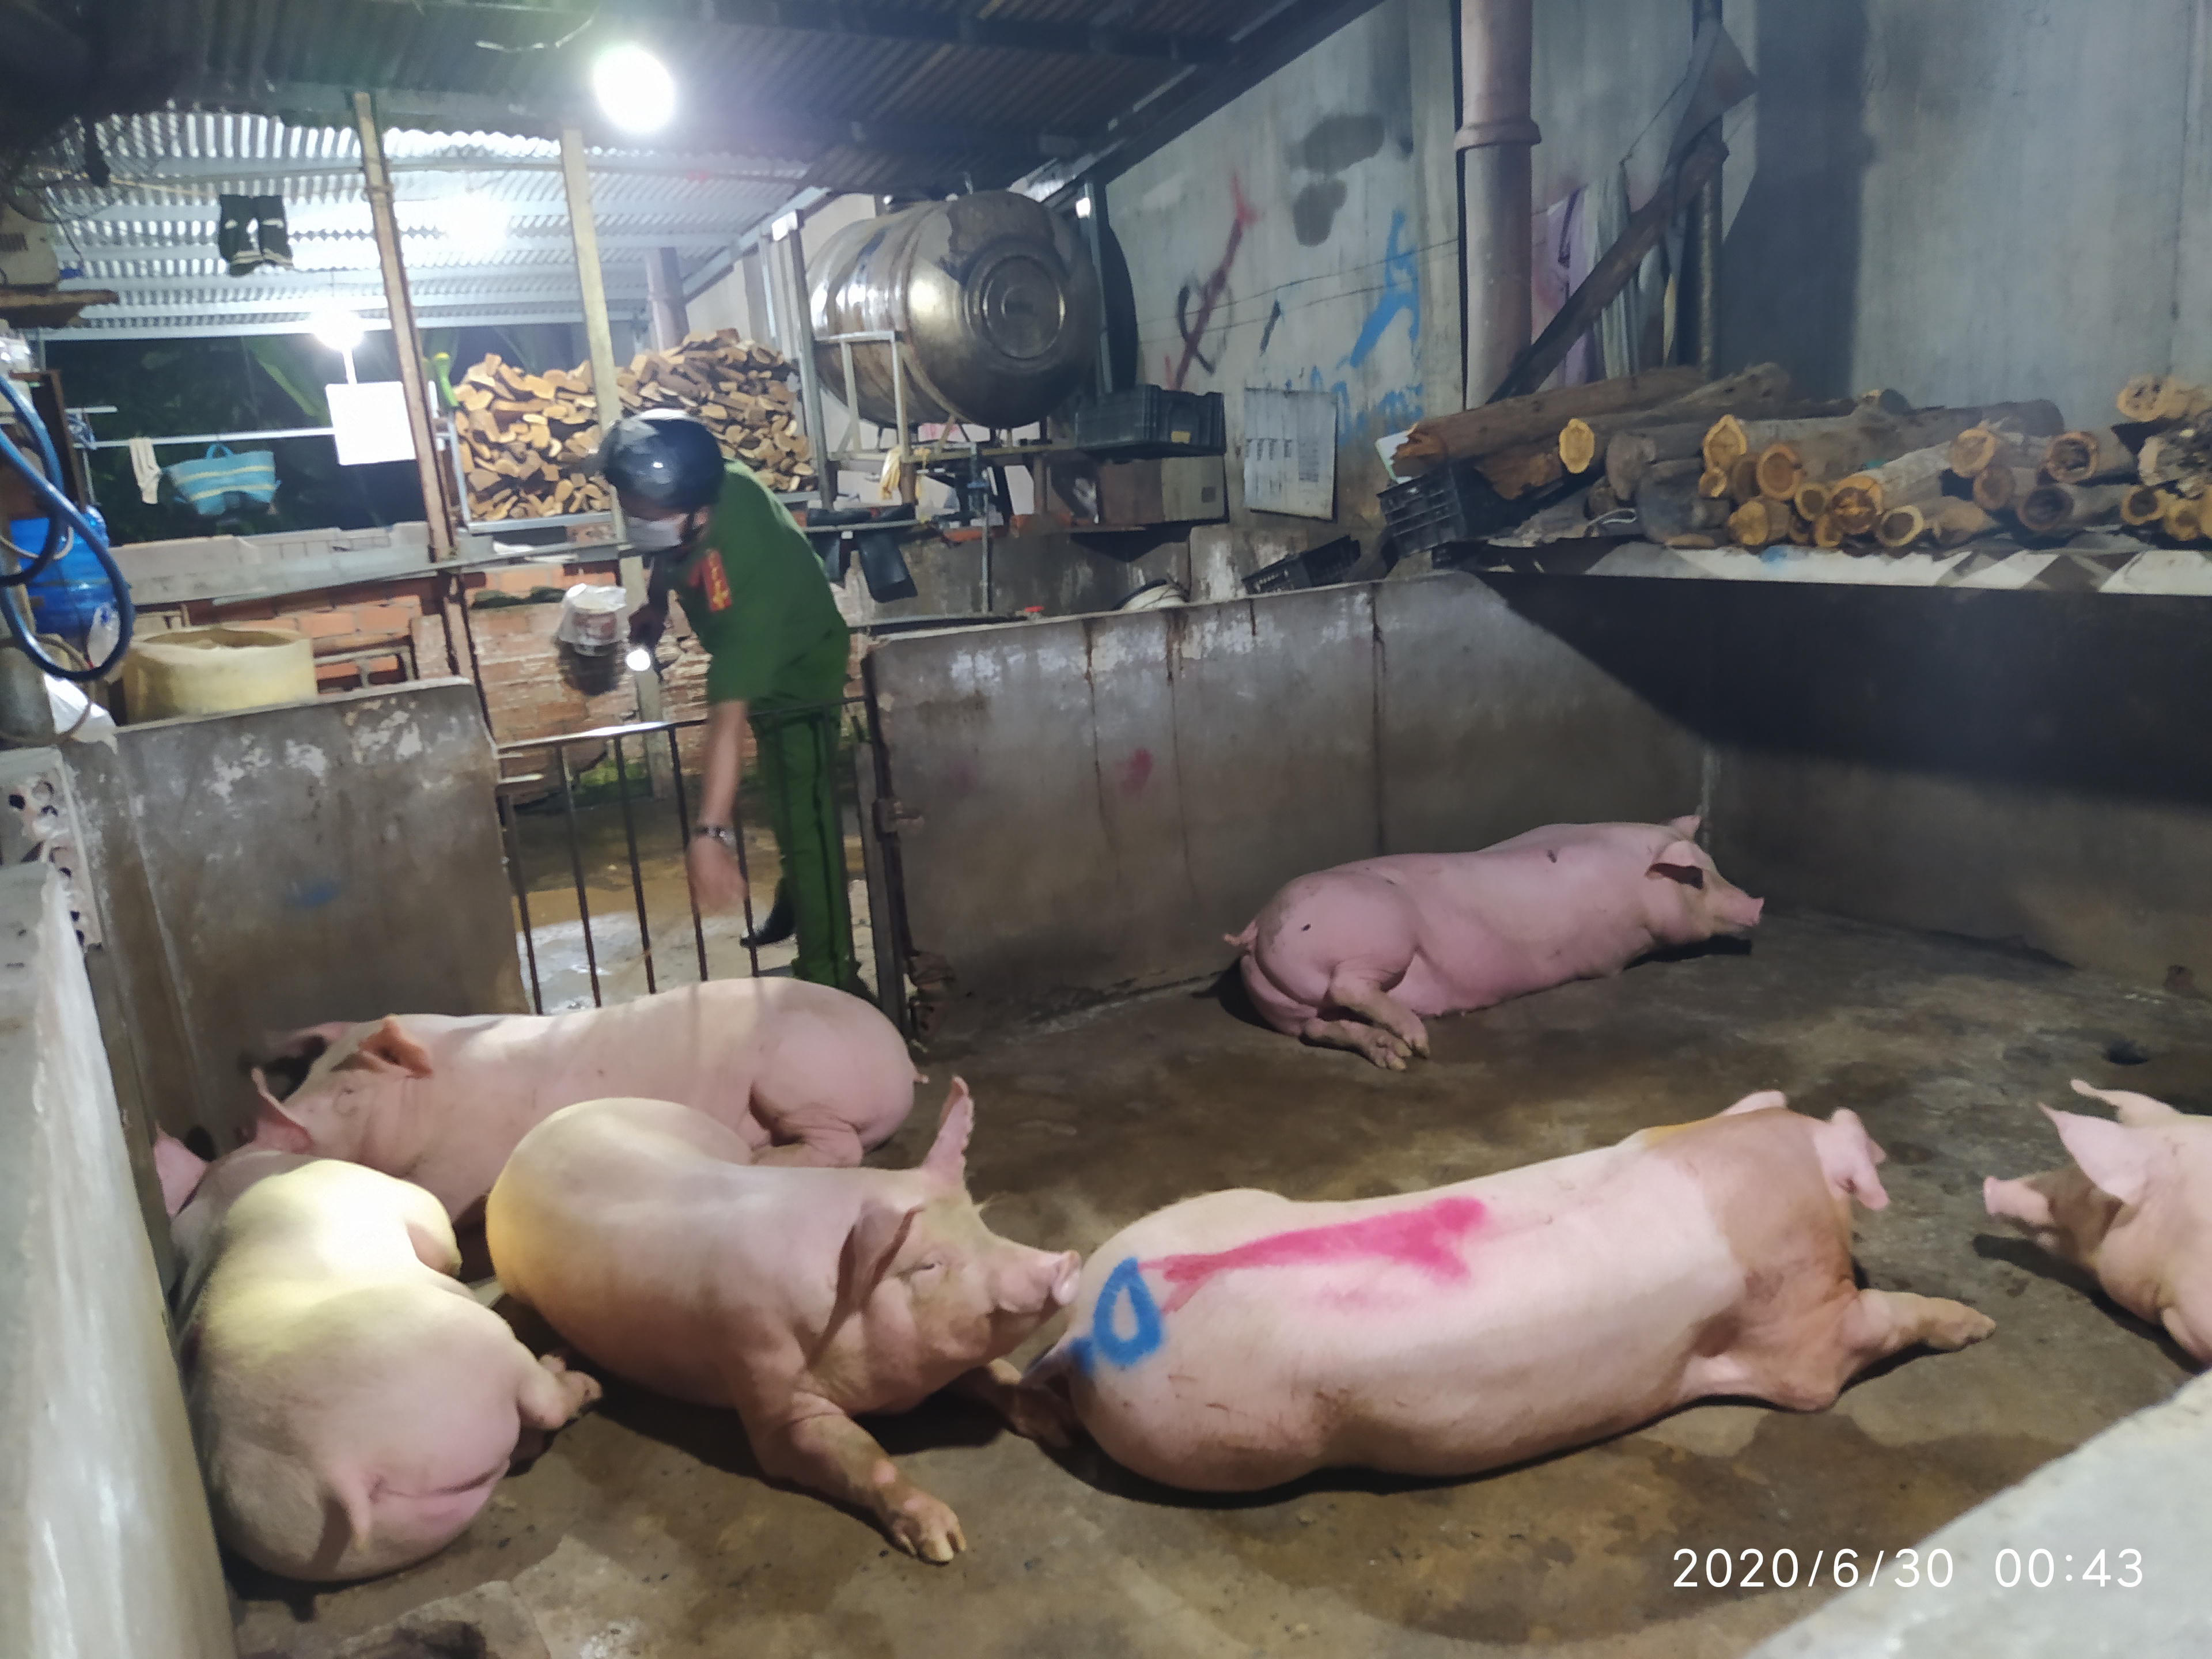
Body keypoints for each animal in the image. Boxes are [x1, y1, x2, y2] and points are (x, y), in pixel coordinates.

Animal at [155, 1136, 599, 1582]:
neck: (229, 1187)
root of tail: (332, 1461)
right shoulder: (402, 1198)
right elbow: (444, 1238)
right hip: (474, 1341)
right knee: (542, 1406)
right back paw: (576, 1376)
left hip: (341, 1545)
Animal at [246, 977, 919, 1219]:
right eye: (307, 1079)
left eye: (351, 1091)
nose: (265, 1127)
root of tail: (900, 1055)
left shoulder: (464, 1160)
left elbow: (433, 1197)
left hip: (796, 1079)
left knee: (840, 1146)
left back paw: (760, 1157)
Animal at [485, 1082, 1080, 1562]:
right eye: (929, 1265)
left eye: (981, 1222)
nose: (1069, 1263)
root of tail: (533, 1136)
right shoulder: (769, 1395)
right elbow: (866, 1456)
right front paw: (945, 1544)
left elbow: (995, 1373)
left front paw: (1063, 1425)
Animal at [1026, 1092, 1991, 1492]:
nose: (1986, 1323)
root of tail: (1085, 1331)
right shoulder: (1800, 1339)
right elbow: (1851, 1346)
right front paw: (1979, 1324)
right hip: (1240, 1437)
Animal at [1227, 816, 1764, 1068]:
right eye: (1695, 878)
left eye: (1713, 866)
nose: (1758, 904)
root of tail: (1257, 928)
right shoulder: (1609, 955)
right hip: (1381, 935)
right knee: (1347, 988)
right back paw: (1418, 1043)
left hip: (1289, 1009)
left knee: (1322, 1027)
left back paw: (1393, 1055)